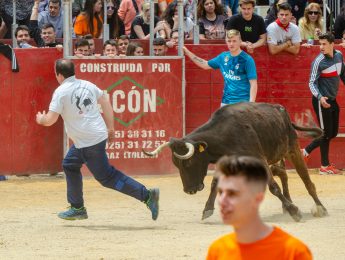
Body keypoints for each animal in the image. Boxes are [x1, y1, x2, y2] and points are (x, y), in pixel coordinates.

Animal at [144, 101, 326, 221]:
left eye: (188, 163)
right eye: (176, 164)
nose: (189, 190)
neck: (226, 134)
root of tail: (281, 110)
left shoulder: (259, 159)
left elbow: (273, 187)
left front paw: (295, 211)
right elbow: (214, 184)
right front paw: (207, 209)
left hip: (292, 149)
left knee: (307, 181)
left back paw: (320, 208)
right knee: (283, 173)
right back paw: (287, 205)